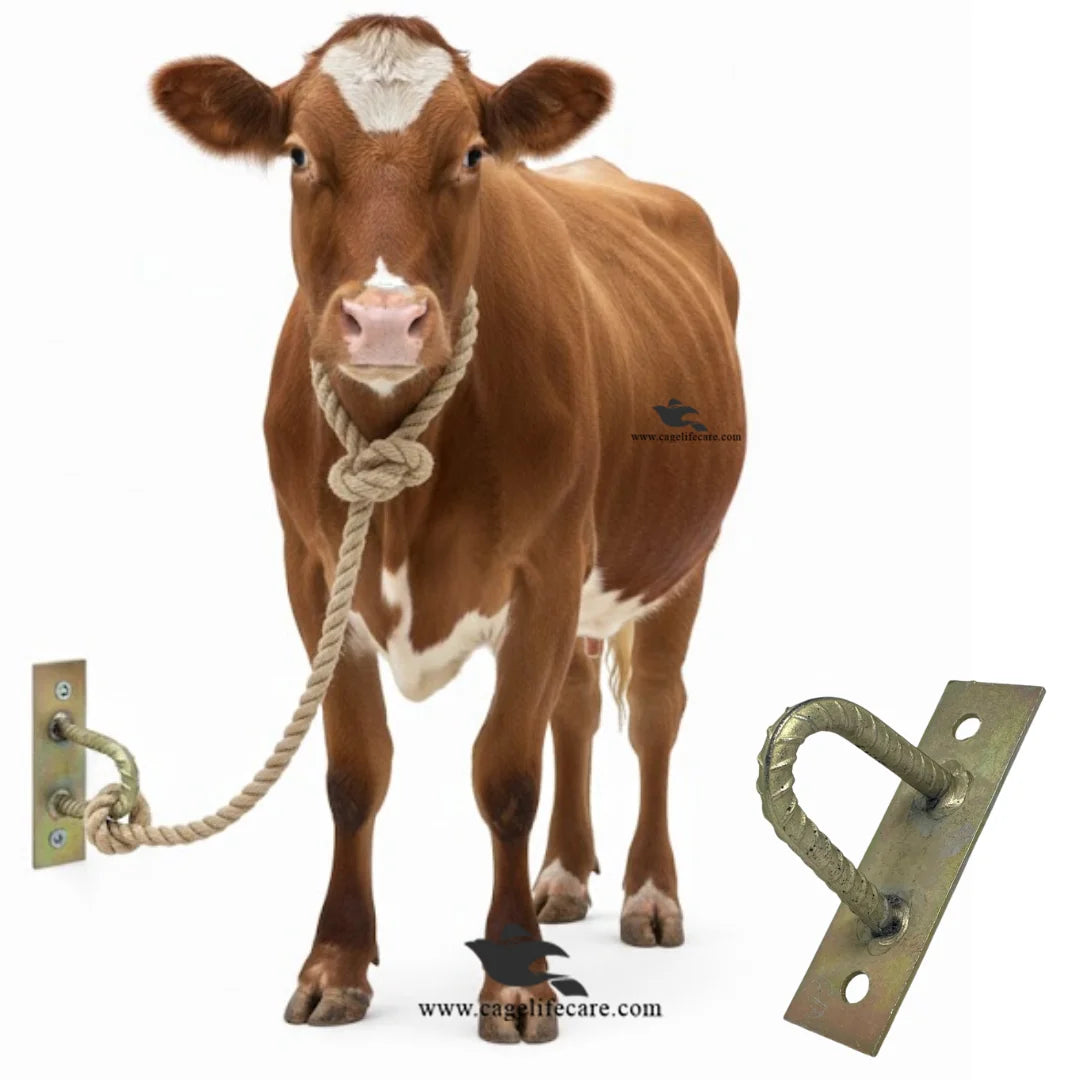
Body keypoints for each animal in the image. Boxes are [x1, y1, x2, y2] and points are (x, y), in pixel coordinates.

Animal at [152, 13, 745, 1043]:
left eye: (472, 153)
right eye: (298, 153)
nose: (385, 320)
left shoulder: (544, 571)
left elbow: (505, 774)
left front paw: (515, 983)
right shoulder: (314, 573)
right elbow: (354, 774)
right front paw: (335, 965)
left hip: (679, 559)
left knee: (655, 713)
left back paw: (649, 895)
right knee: (577, 704)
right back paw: (563, 878)